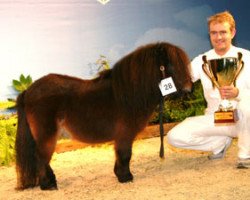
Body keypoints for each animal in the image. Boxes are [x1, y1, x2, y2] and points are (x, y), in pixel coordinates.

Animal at [15, 41, 191, 190]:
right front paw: (126, 177)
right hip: (47, 134)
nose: (189, 90)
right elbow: (125, 154)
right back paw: (48, 185)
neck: (129, 94)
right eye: (170, 65)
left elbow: (121, 155)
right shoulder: (125, 134)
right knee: (41, 157)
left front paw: (120, 174)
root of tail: (28, 90)